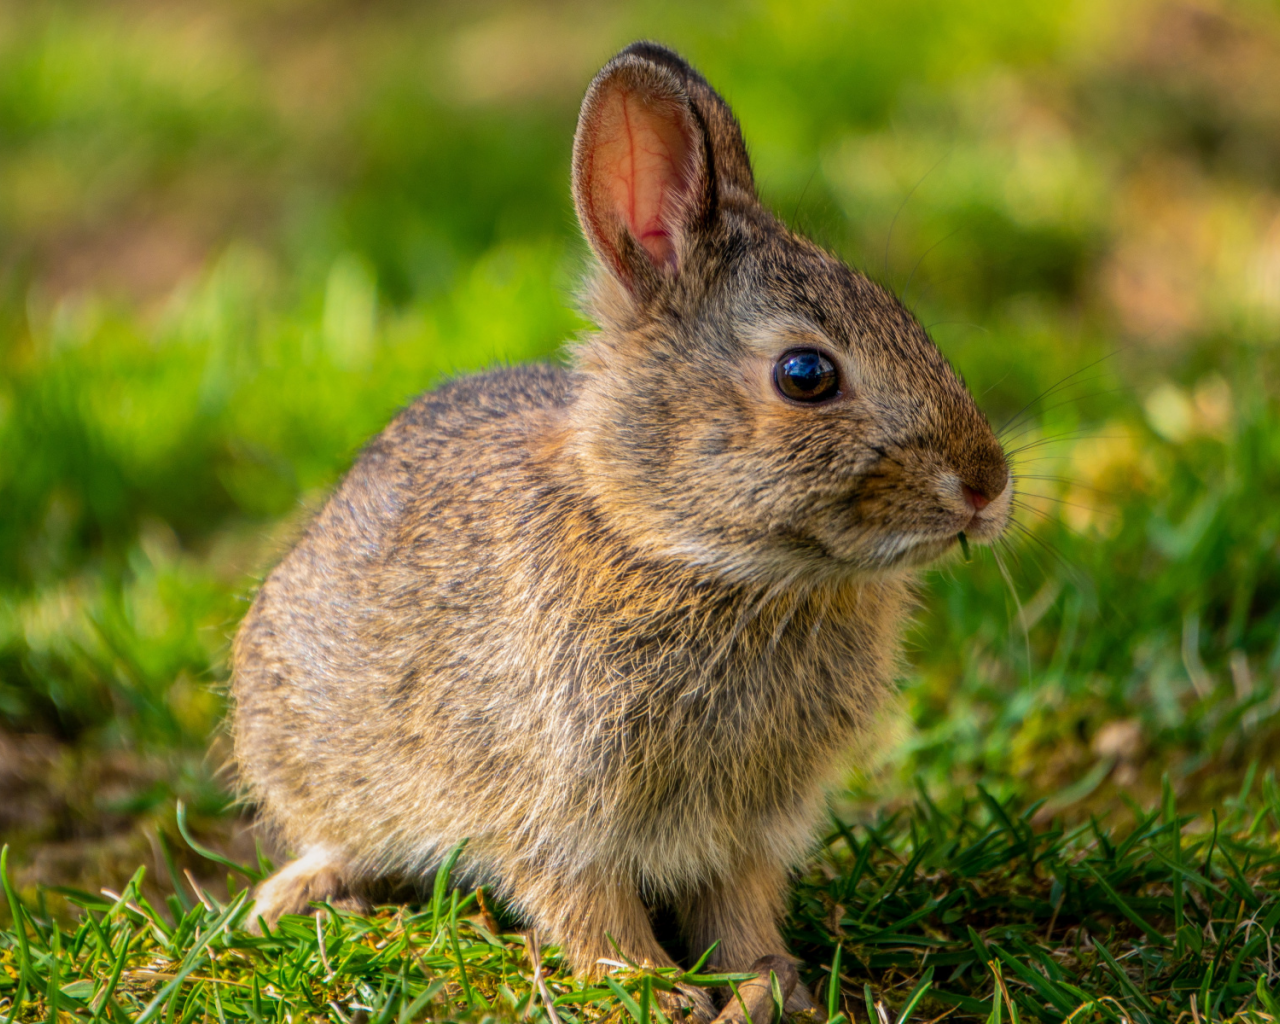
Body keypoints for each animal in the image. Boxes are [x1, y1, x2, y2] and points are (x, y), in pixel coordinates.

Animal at [230, 40, 1008, 1024]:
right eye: (806, 374)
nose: (988, 486)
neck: (687, 554)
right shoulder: (552, 808)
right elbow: (584, 904)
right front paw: (652, 989)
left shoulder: (747, 829)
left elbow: (741, 908)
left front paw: (768, 987)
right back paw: (299, 896)